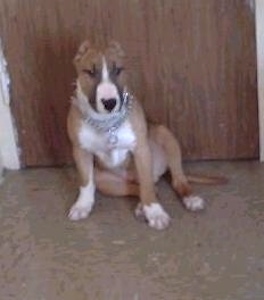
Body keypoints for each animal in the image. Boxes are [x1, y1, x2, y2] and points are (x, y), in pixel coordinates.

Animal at [67, 40, 220, 230]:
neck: (106, 124)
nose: (109, 103)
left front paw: (155, 212)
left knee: (173, 180)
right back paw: (141, 206)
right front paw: (82, 205)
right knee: (141, 187)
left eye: (118, 70)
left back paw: (190, 199)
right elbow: (86, 183)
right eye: (89, 72)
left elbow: (146, 185)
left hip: (167, 138)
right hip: (104, 180)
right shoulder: (80, 151)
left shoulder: (141, 150)